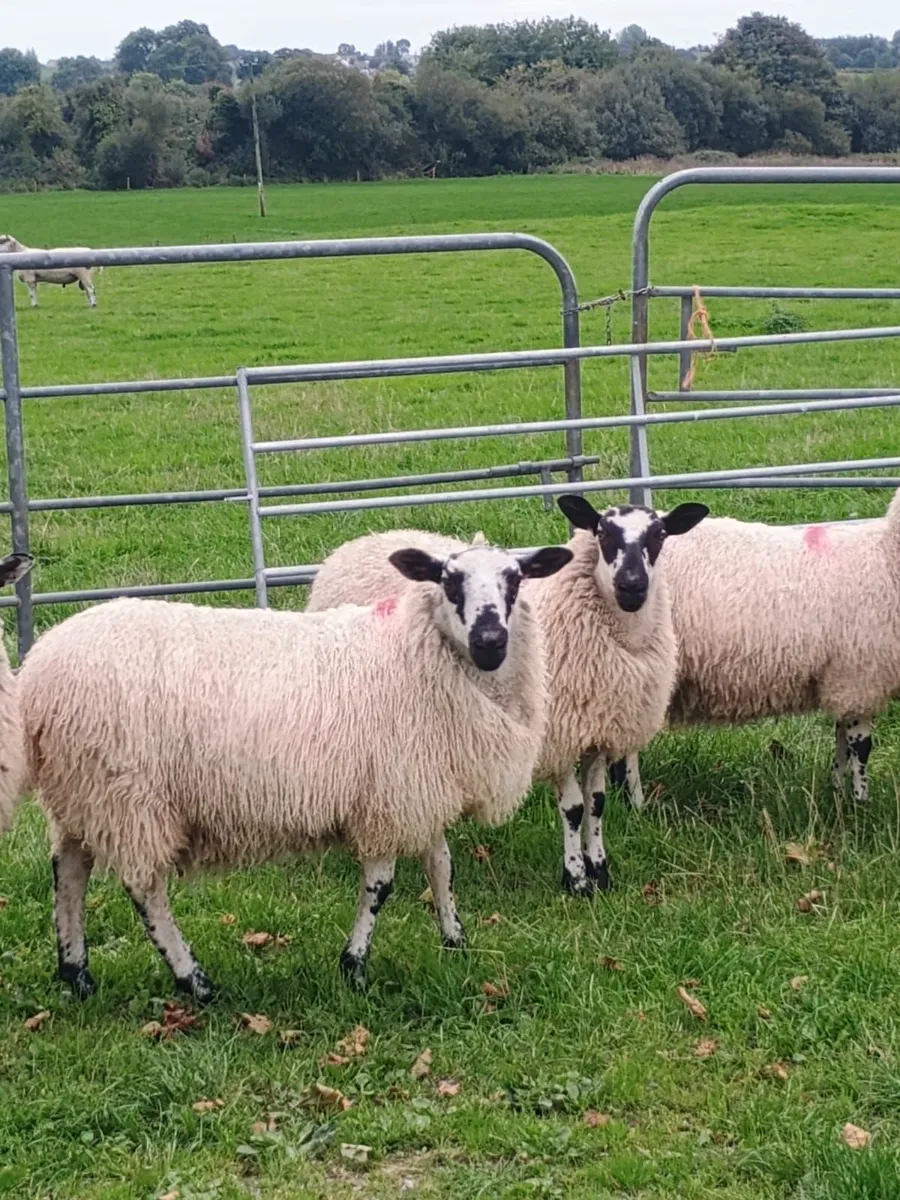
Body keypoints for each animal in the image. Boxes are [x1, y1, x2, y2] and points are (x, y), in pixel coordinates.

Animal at [19, 540, 572, 1001]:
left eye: (515, 580)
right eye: (449, 580)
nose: (490, 639)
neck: (413, 652)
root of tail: (37, 672)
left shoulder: (417, 786)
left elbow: (441, 864)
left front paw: (455, 940)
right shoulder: (387, 794)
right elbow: (381, 886)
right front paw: (354, 966)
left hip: (82, 793)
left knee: (68, 871)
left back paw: (76, 974)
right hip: (129, 794)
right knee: (144, 889)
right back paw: (194, 981)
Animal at [307, 495, 708, 896]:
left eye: (659, 535)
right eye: (602, 533)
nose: (632, 585)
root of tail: (361, 541)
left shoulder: (600, 730)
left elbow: (596, 804)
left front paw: (600, 871)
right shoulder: (557, 737)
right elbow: (574, 808)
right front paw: (576, 879)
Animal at [615, 490, 900, 807]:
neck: (885, 555)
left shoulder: (843, 678)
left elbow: (841, 741)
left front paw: (837, 792)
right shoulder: (861, 676)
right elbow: (860, 747)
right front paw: (861, 803)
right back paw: (636, 802)